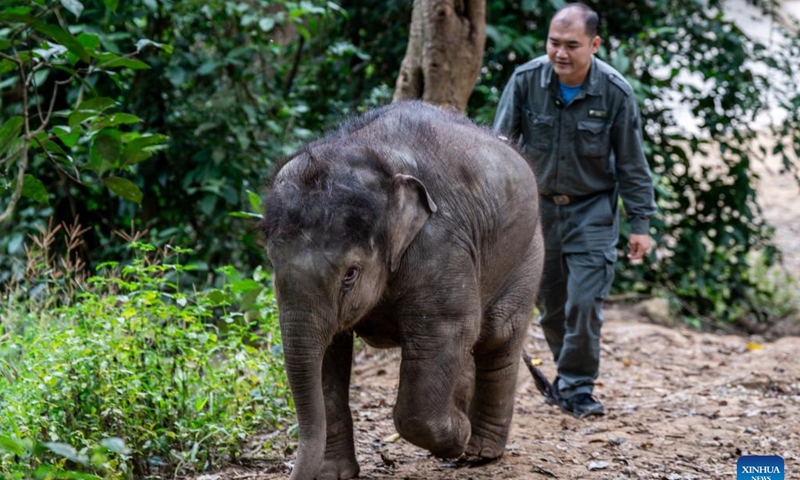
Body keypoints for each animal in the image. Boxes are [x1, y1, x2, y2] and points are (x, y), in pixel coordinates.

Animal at [260, 101, 544, 480]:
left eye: (350, 274)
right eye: (273, 265)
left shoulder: (440, 246)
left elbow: (449, 331)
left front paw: (458, 437)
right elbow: (327, 356)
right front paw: (334, 474)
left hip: (528, 249)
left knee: (498, 333)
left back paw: (479, 452)